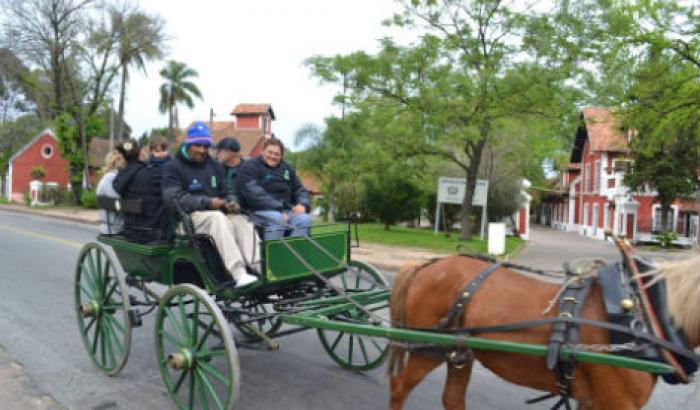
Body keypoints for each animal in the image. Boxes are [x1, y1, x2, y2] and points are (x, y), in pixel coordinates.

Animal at [388, 253, 700, 410]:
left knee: (453, 398)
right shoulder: (616, 402)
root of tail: (427, 264)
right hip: (427, 349)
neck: (645, 310)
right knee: (399, 387)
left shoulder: (591, 399)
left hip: (459, 354)